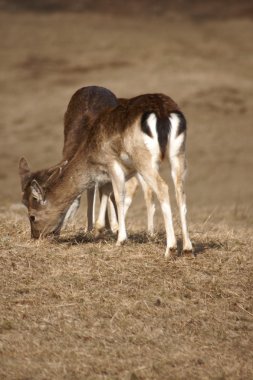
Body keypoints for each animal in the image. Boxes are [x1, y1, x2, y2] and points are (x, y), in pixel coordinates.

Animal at [18, 90, 192, 255]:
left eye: (32, 216)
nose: (35, 236)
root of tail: (162, 112)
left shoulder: (112, 163)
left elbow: (119, 196)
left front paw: (120, 240)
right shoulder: (108, 174)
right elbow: (108, 194)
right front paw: (103, 231)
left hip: (143, 157)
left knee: (162, 187)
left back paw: (170, 248)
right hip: (178, 152)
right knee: (180, 191)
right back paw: (187, 248)